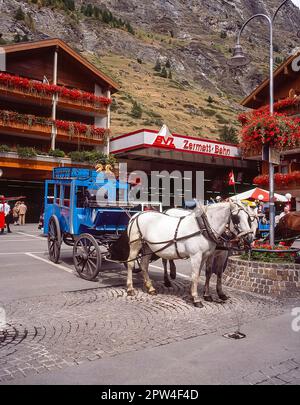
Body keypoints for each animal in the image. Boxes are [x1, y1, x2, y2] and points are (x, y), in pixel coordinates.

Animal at [125, 199, 253, 306]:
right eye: (236, 218)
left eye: (249, 218)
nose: (250, 238)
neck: (203, 227)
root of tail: (136, 215)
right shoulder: (196, 256)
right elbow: (195, 275)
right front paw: (196, 299)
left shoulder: (205, 256)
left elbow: (202, 274)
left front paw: (197, 295)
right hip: (136, 245)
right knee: (130, 263)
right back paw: (130, 289)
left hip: (148, 247)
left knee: (144, 265)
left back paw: (151, 288)